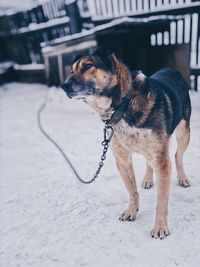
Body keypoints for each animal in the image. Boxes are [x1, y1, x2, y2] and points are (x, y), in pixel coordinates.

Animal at [60, 49, 191, 240]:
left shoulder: (161, 161)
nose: (63, 86)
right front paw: (132, 211)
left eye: (87, 66)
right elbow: (132, 190)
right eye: (71, 71)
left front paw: (160, 227)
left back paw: (182, 178)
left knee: (177, 155)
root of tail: (172, 69)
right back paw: (147, 179)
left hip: (183, 133)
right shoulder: (122, 160)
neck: (123, 105)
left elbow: (161, 202)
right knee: (149, 163)